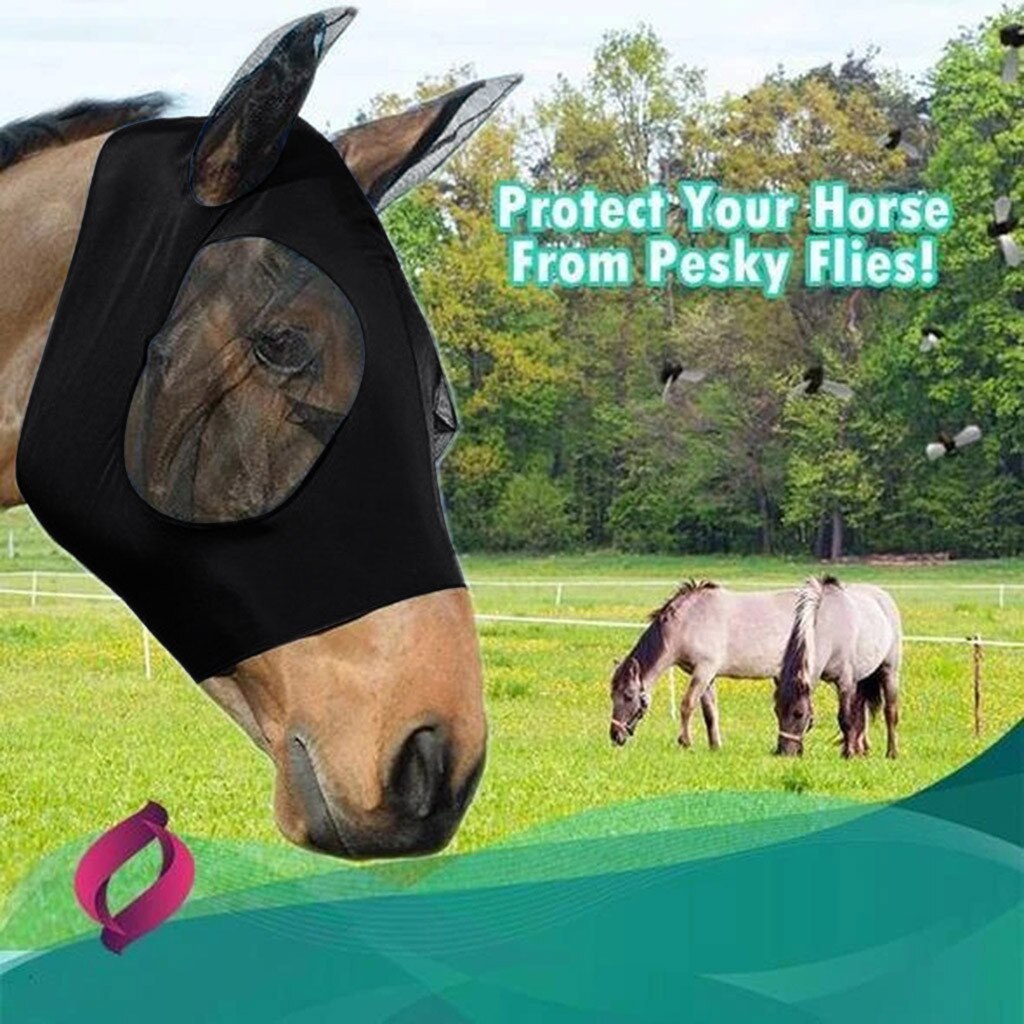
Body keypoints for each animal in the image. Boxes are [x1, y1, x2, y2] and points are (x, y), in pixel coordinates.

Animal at [609, 580, 797, 748]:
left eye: (628, 695)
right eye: (612, 695)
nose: (615, 735)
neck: (687, 622)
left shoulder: (703, 671)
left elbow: (687, 705)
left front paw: (685, 741)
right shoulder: (708, 677)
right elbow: (710, 713)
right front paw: (715, 746)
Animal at [775, 576, 902, 759]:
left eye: (799, 713)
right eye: (776, 711)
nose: (784, 752)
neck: (830, 629)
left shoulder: (845, 682)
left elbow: (845, 718)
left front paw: (848, 754)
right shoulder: (850, 683)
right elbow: (853, 716)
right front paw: (851, 751)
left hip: (890, 672)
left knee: (890, 712)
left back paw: (891, 752)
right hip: (861, 679)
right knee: (861, 712)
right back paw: (862, 750)